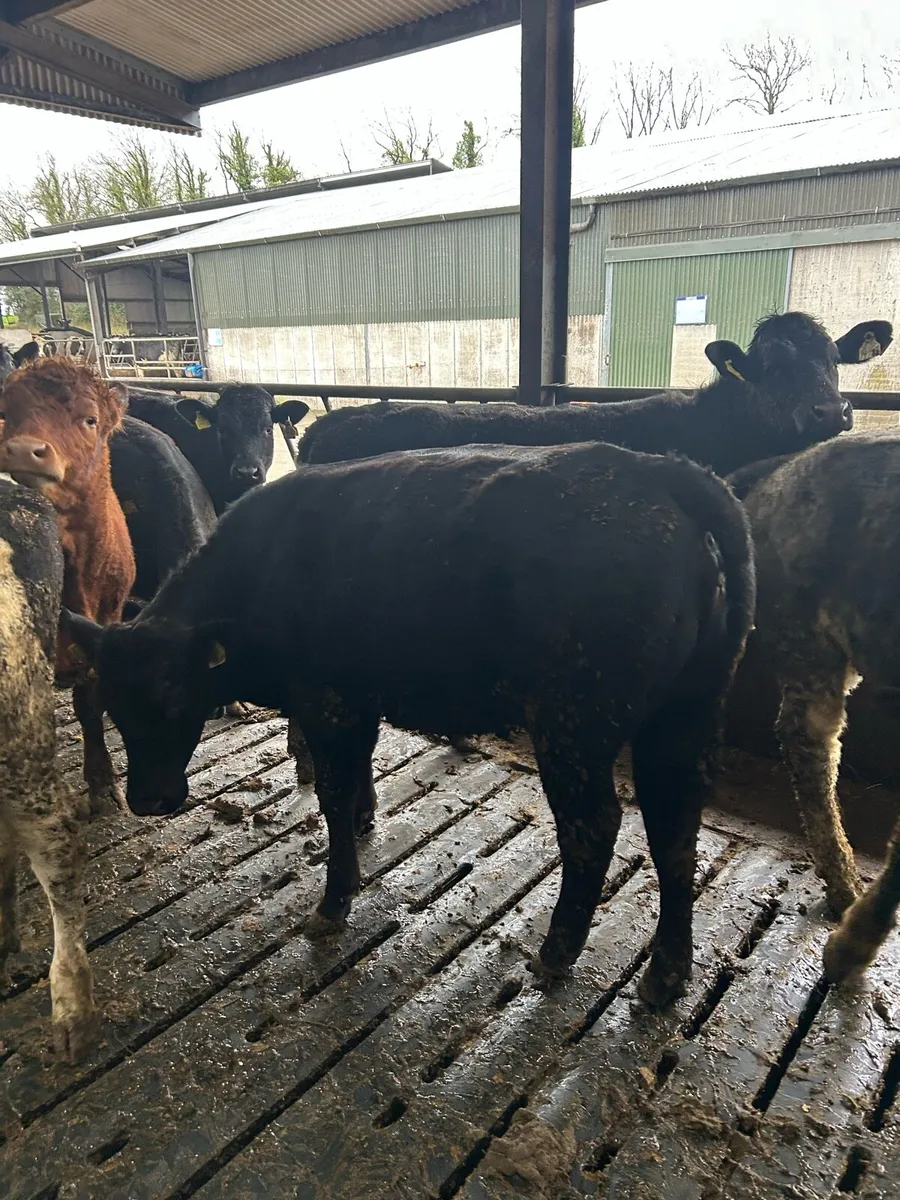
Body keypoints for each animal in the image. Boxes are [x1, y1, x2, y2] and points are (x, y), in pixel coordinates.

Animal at [64, 441, 755, 1006]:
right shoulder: (358, 699)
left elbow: (335, 794)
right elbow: (358, 778)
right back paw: (666, 974)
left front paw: (335, 900)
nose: (148, 799)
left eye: (176, 694)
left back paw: (558, 950)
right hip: (683, 716)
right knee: (674, 829)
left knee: (594, 828)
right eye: (115, 704)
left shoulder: (326, 700)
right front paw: (366, 823)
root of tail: (663, 472)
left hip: (574, 725)